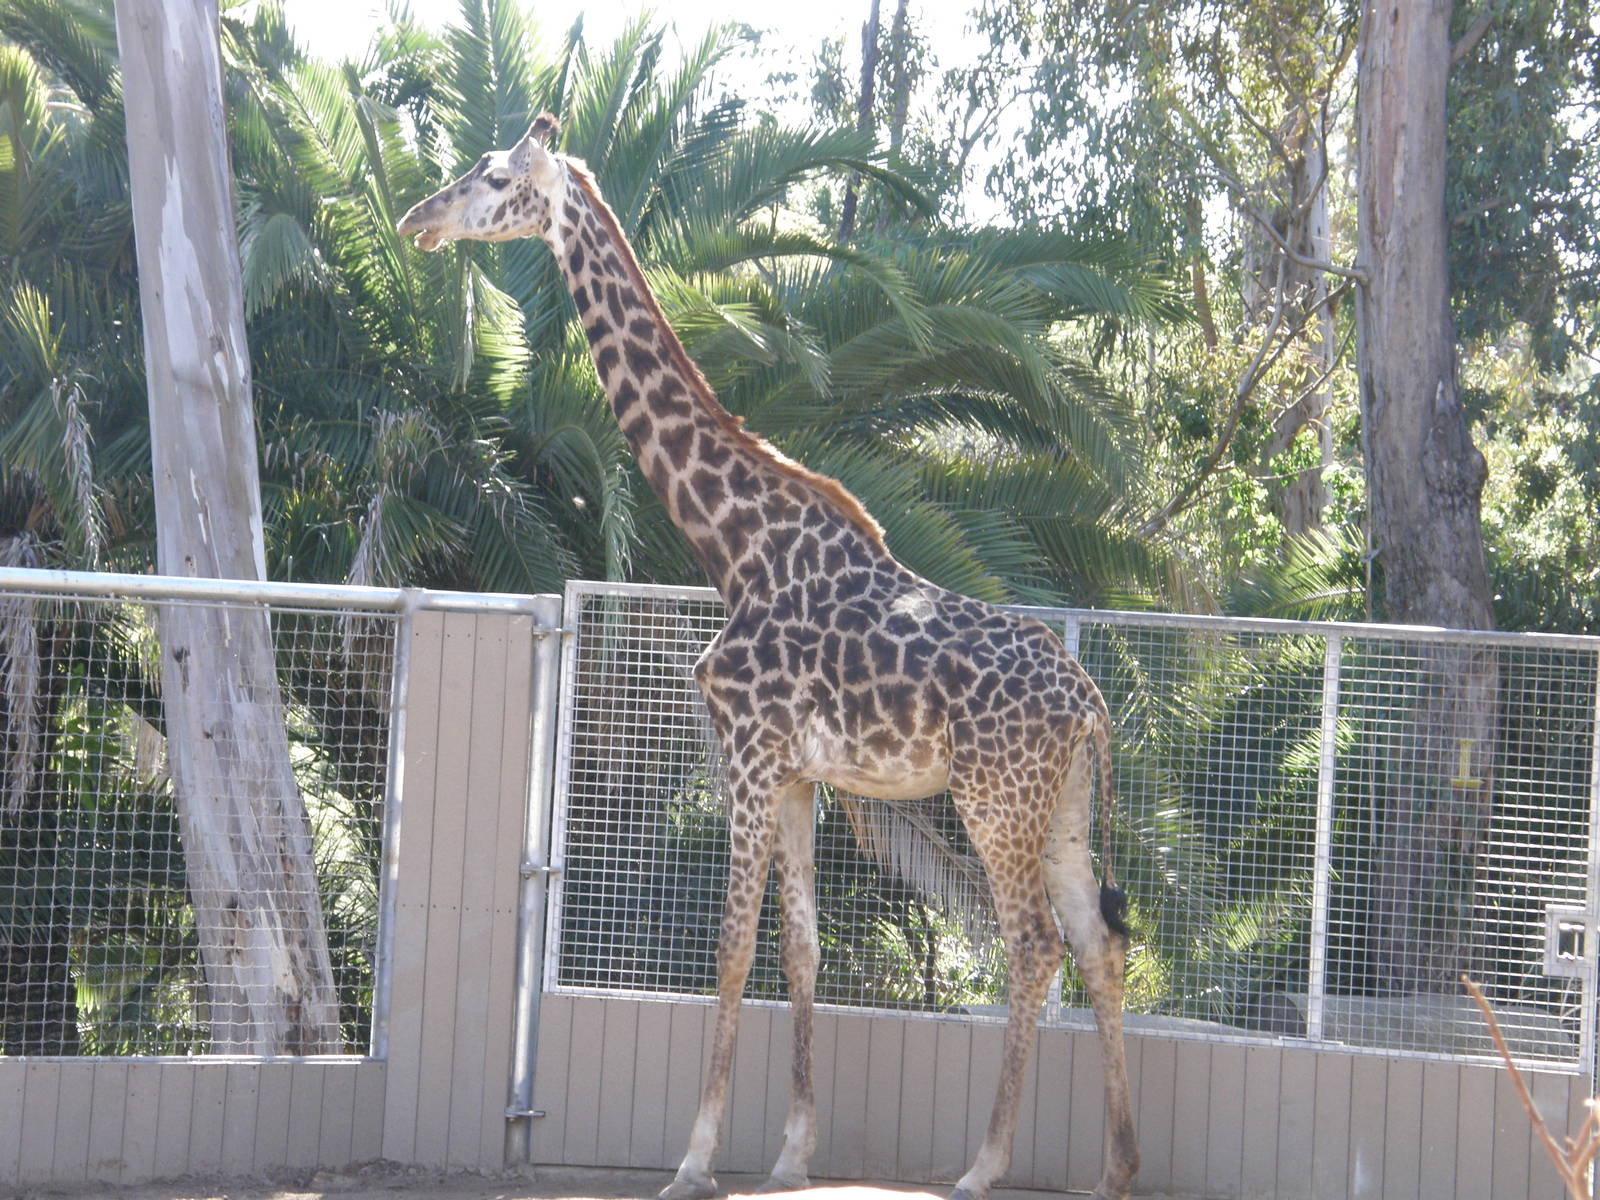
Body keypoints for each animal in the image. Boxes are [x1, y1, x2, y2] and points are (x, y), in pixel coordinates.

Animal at [397, 115, 1140, 1200]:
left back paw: (984, 1165)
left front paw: (694, 1157)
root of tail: (1089, 701)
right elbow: (801, 949)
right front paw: (791, 1149)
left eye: (493, 177)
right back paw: (1120, 1167)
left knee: (1033, 946)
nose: (417, 219)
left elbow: (732, 949)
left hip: (995, 798)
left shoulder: (746, 755)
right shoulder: (796, 775)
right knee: (1098, 943)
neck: (735, 546)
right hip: (1066, 806)